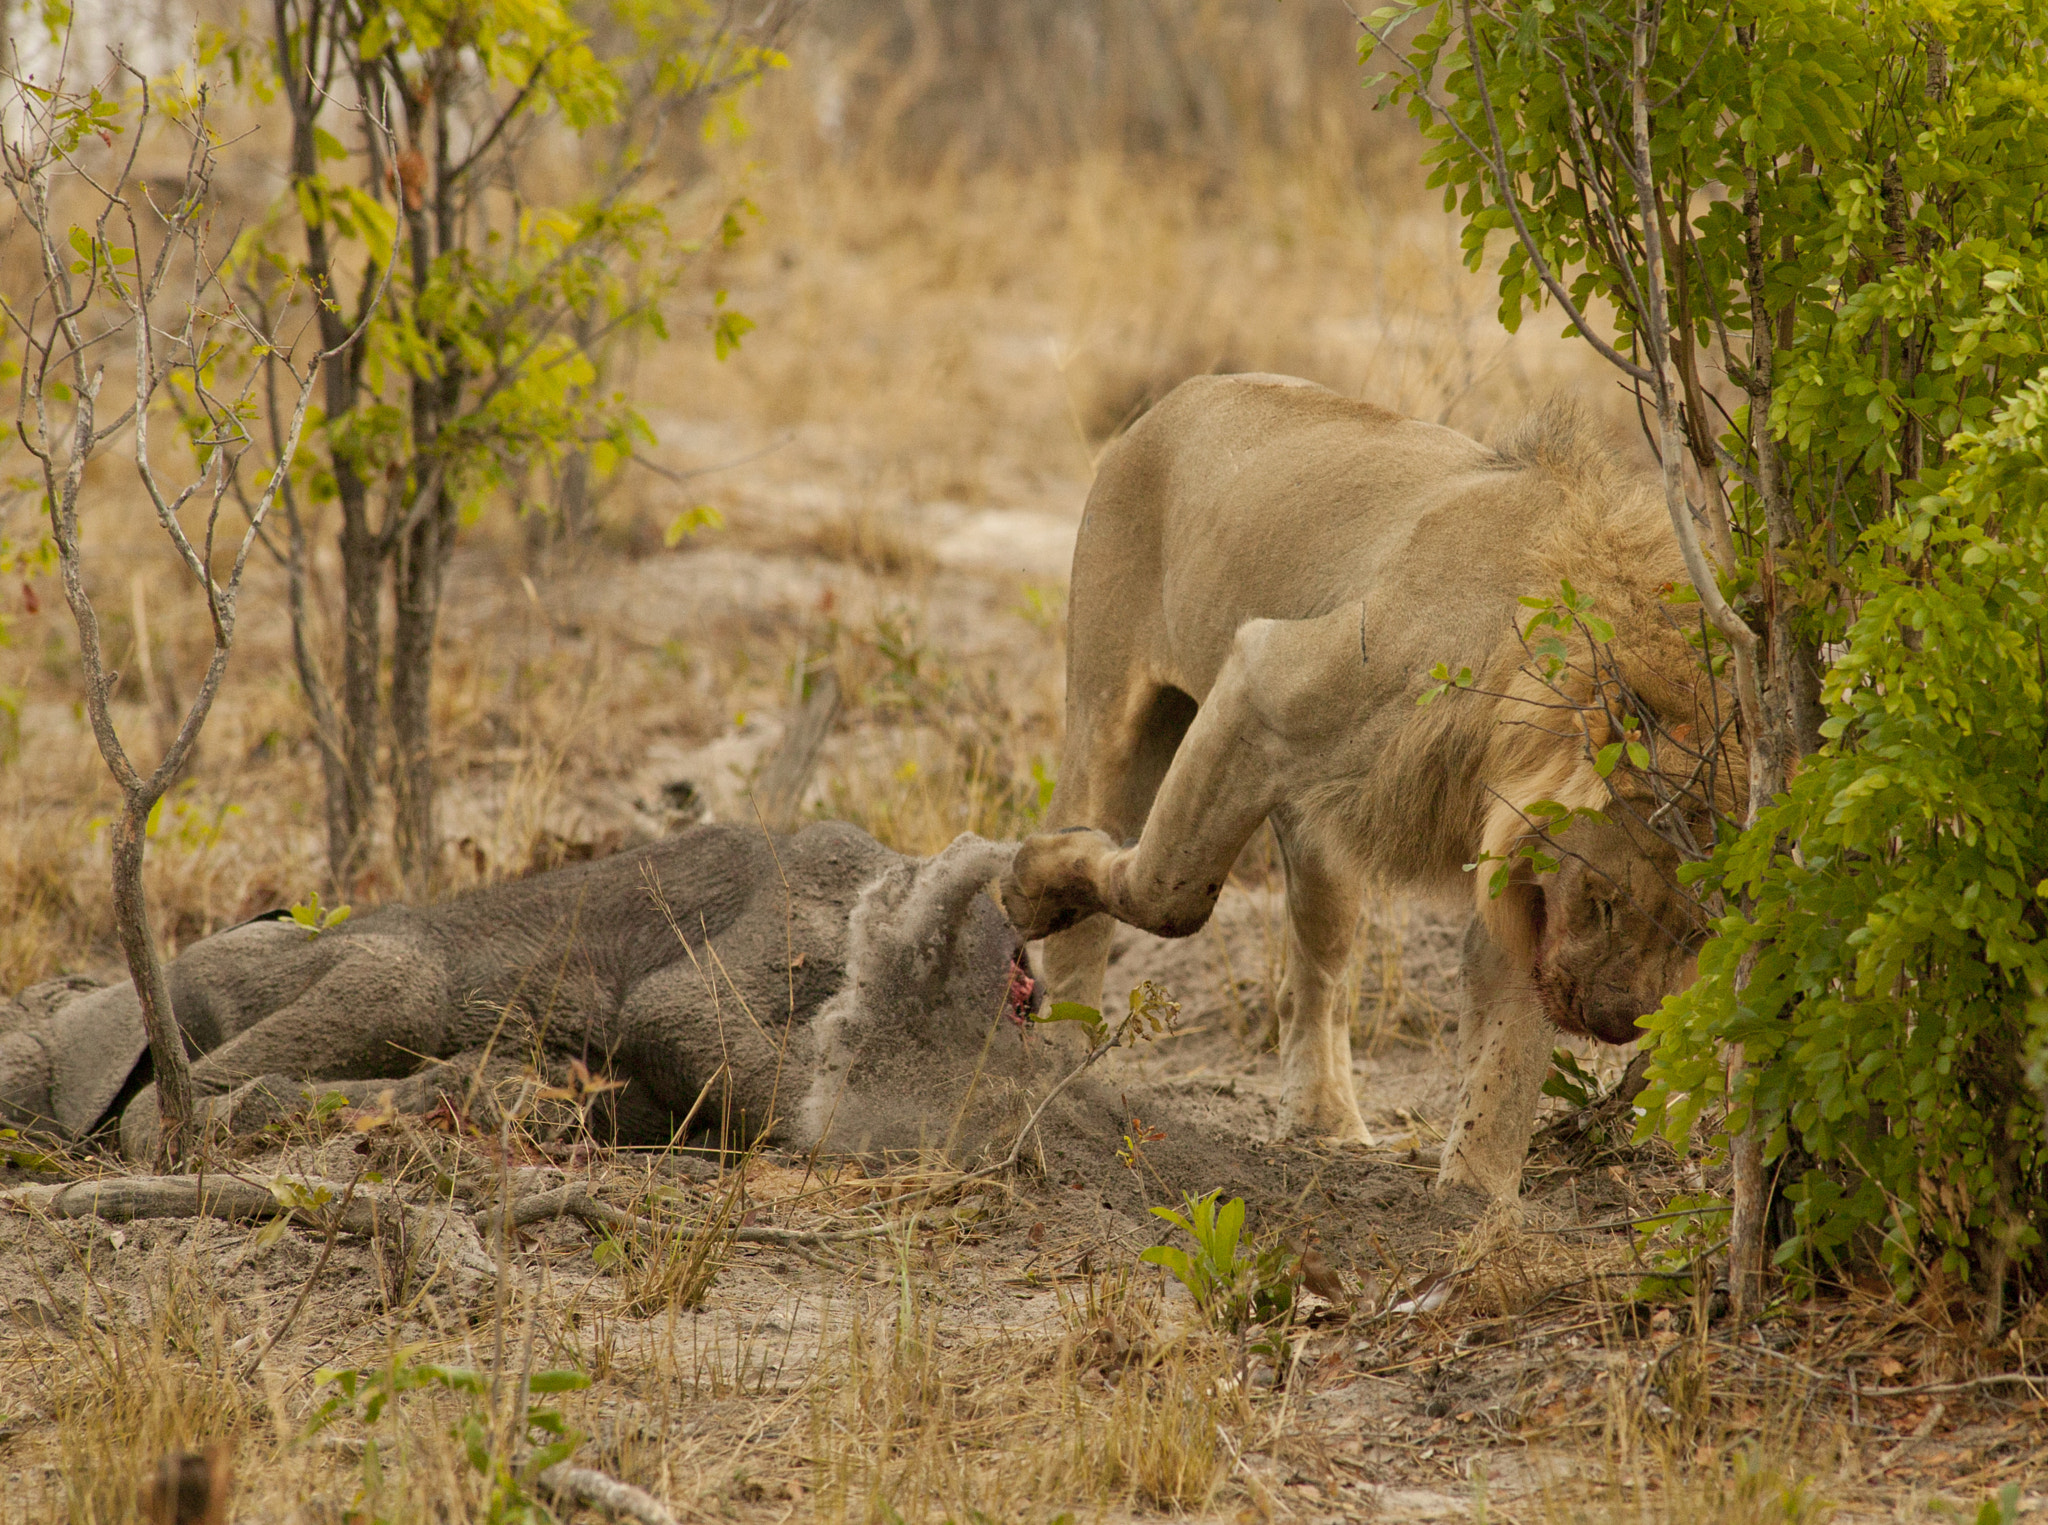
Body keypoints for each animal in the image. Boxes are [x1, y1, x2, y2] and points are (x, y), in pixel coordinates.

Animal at [1003, 372, 1728, 1203]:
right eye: (1607, 900)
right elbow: (1169, 893)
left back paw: (1327, 1123)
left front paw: (1474, 1206)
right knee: (1092, 857)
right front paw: (1030, 882)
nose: (1613, 1024)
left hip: (1320, 834)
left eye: (1697, 933)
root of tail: (1187, 389)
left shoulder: (1523, 881)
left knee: (1316, 970)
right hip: (1111, 707)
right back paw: (1067, 1066)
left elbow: (1505, 1065)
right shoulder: (1262, 679)